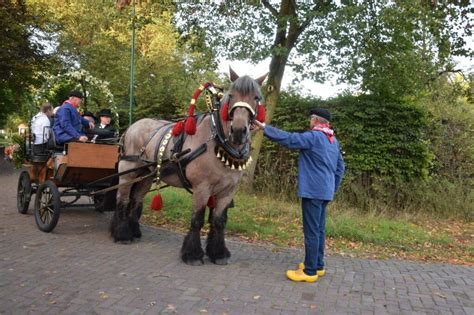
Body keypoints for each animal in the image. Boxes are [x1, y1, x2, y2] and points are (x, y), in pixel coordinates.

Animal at [110, 69, 266, 266]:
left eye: (257, 97)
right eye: (231, 95)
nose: (238, 131)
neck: (217, 141)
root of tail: (131, 128)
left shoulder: (228, 191)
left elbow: (219, 221)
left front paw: (218, 253)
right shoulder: (202, 188)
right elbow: (197, 220)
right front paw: (192, 254)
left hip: (146, 176)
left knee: (135, 200)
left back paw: (133, 231)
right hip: (127, 173)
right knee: (122, 200)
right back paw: (122, 234)